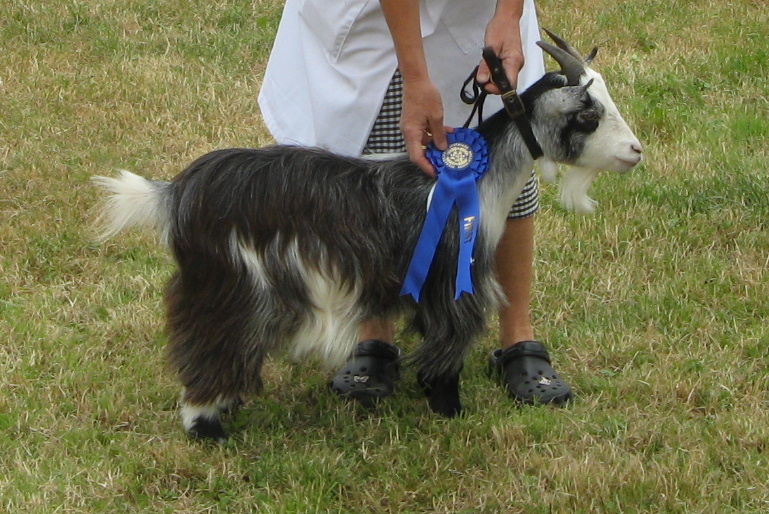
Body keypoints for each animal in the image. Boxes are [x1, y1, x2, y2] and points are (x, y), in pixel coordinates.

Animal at [93, 32, 640, 440]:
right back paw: (206, 425)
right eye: (586, 115)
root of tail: (175, 194)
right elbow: (449, 344)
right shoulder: (451, 283)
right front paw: (449, 410)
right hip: (229, 285)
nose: (634, 151)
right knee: (206, 343)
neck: (480, 181)